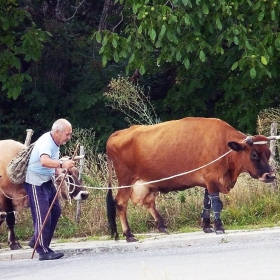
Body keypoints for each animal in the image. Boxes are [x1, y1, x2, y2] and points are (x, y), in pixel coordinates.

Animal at [106, 117, 274, 242]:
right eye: (254, 155)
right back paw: (129, 235)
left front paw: (207, 226)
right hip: (126, 181)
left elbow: (207, 203)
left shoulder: (208, 181)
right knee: (120, 204)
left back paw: (161, 225)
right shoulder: (212, 178)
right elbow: (216, 204)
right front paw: (219, 227)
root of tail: (118, 133)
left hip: (147, 184)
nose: (270, 176)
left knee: (148, 202)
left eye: (269, 153)